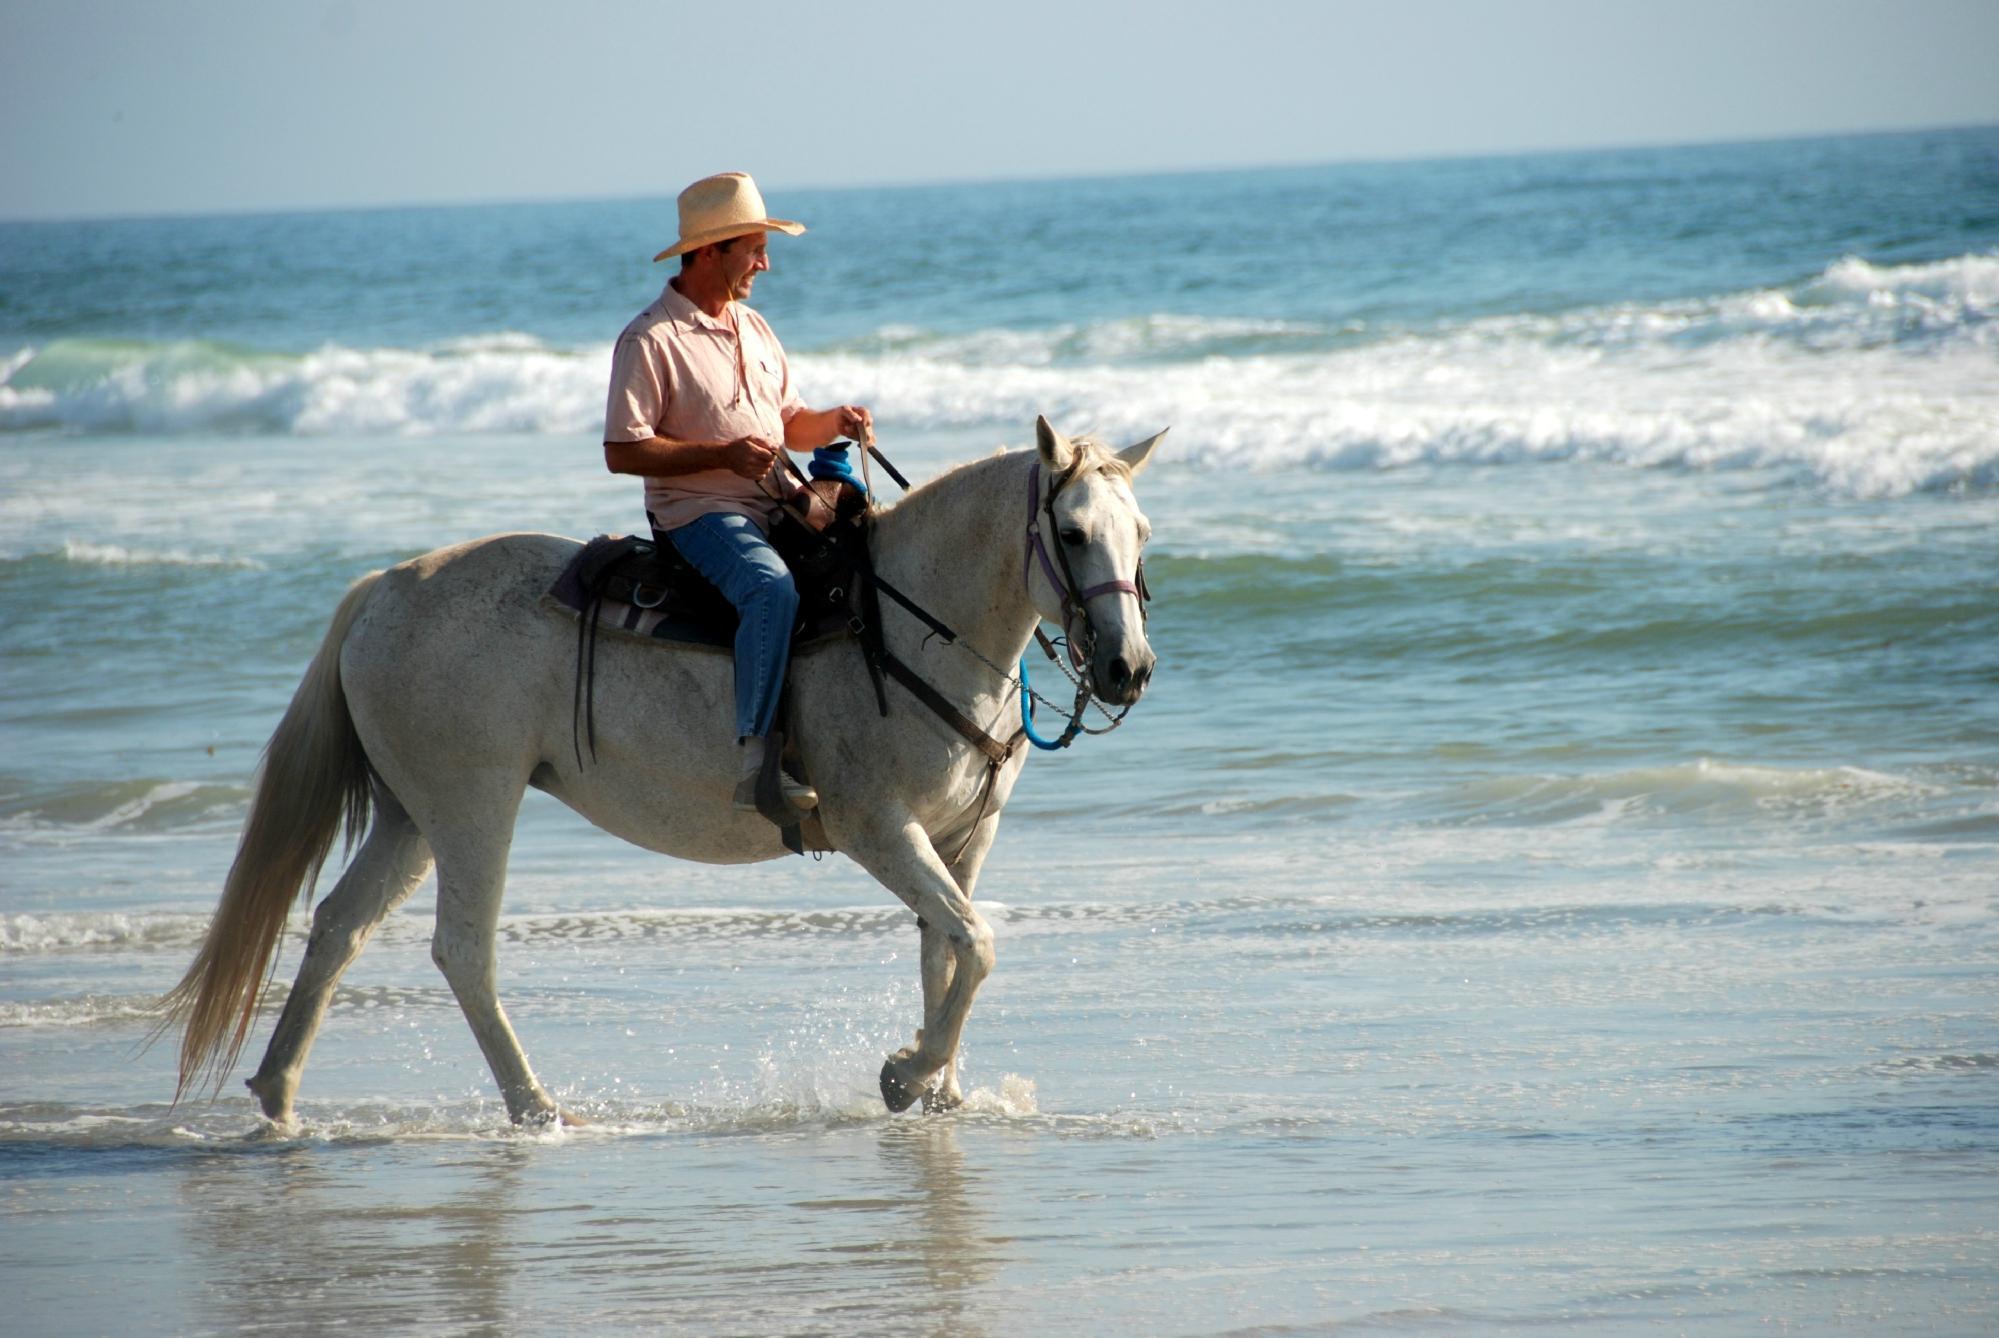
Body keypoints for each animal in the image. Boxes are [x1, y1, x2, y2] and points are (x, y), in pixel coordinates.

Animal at [163, 412, 1167, 1120]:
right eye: (1071, 533)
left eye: (1142, 532)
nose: (1128, 668)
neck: (909, 620)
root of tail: (383, 590)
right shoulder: (877, 829)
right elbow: (977, 942)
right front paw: (903, 1073)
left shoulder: (962, 835)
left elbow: (948, 949)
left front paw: (939, 1091)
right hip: (470, 807)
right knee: (462, 950)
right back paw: (536, 1108)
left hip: (410, 816)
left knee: (338, 928)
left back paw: (279, 1095)